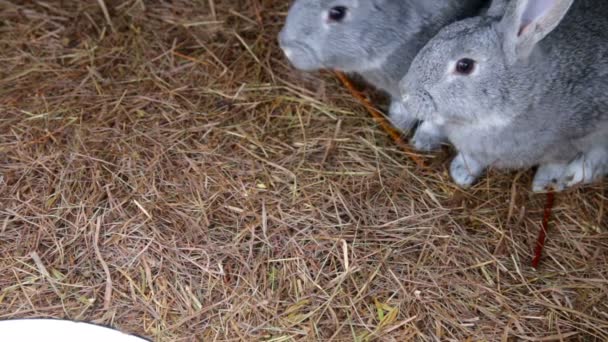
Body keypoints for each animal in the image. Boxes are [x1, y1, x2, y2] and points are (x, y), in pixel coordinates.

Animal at [400, 0, 608, 191]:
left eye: (464, 65)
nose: (405, 94)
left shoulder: (571, 142)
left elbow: (556, 162)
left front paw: (544, 184)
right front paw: (461, 173)